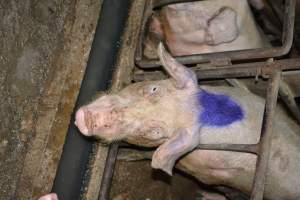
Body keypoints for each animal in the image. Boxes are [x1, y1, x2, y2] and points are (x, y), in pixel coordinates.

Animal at [74, 43, 300, 200]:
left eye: (155, 132)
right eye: (153, 88)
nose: (87, 117)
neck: (204, 114)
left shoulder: (203, 170)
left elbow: (148, 155)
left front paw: (125, 157)